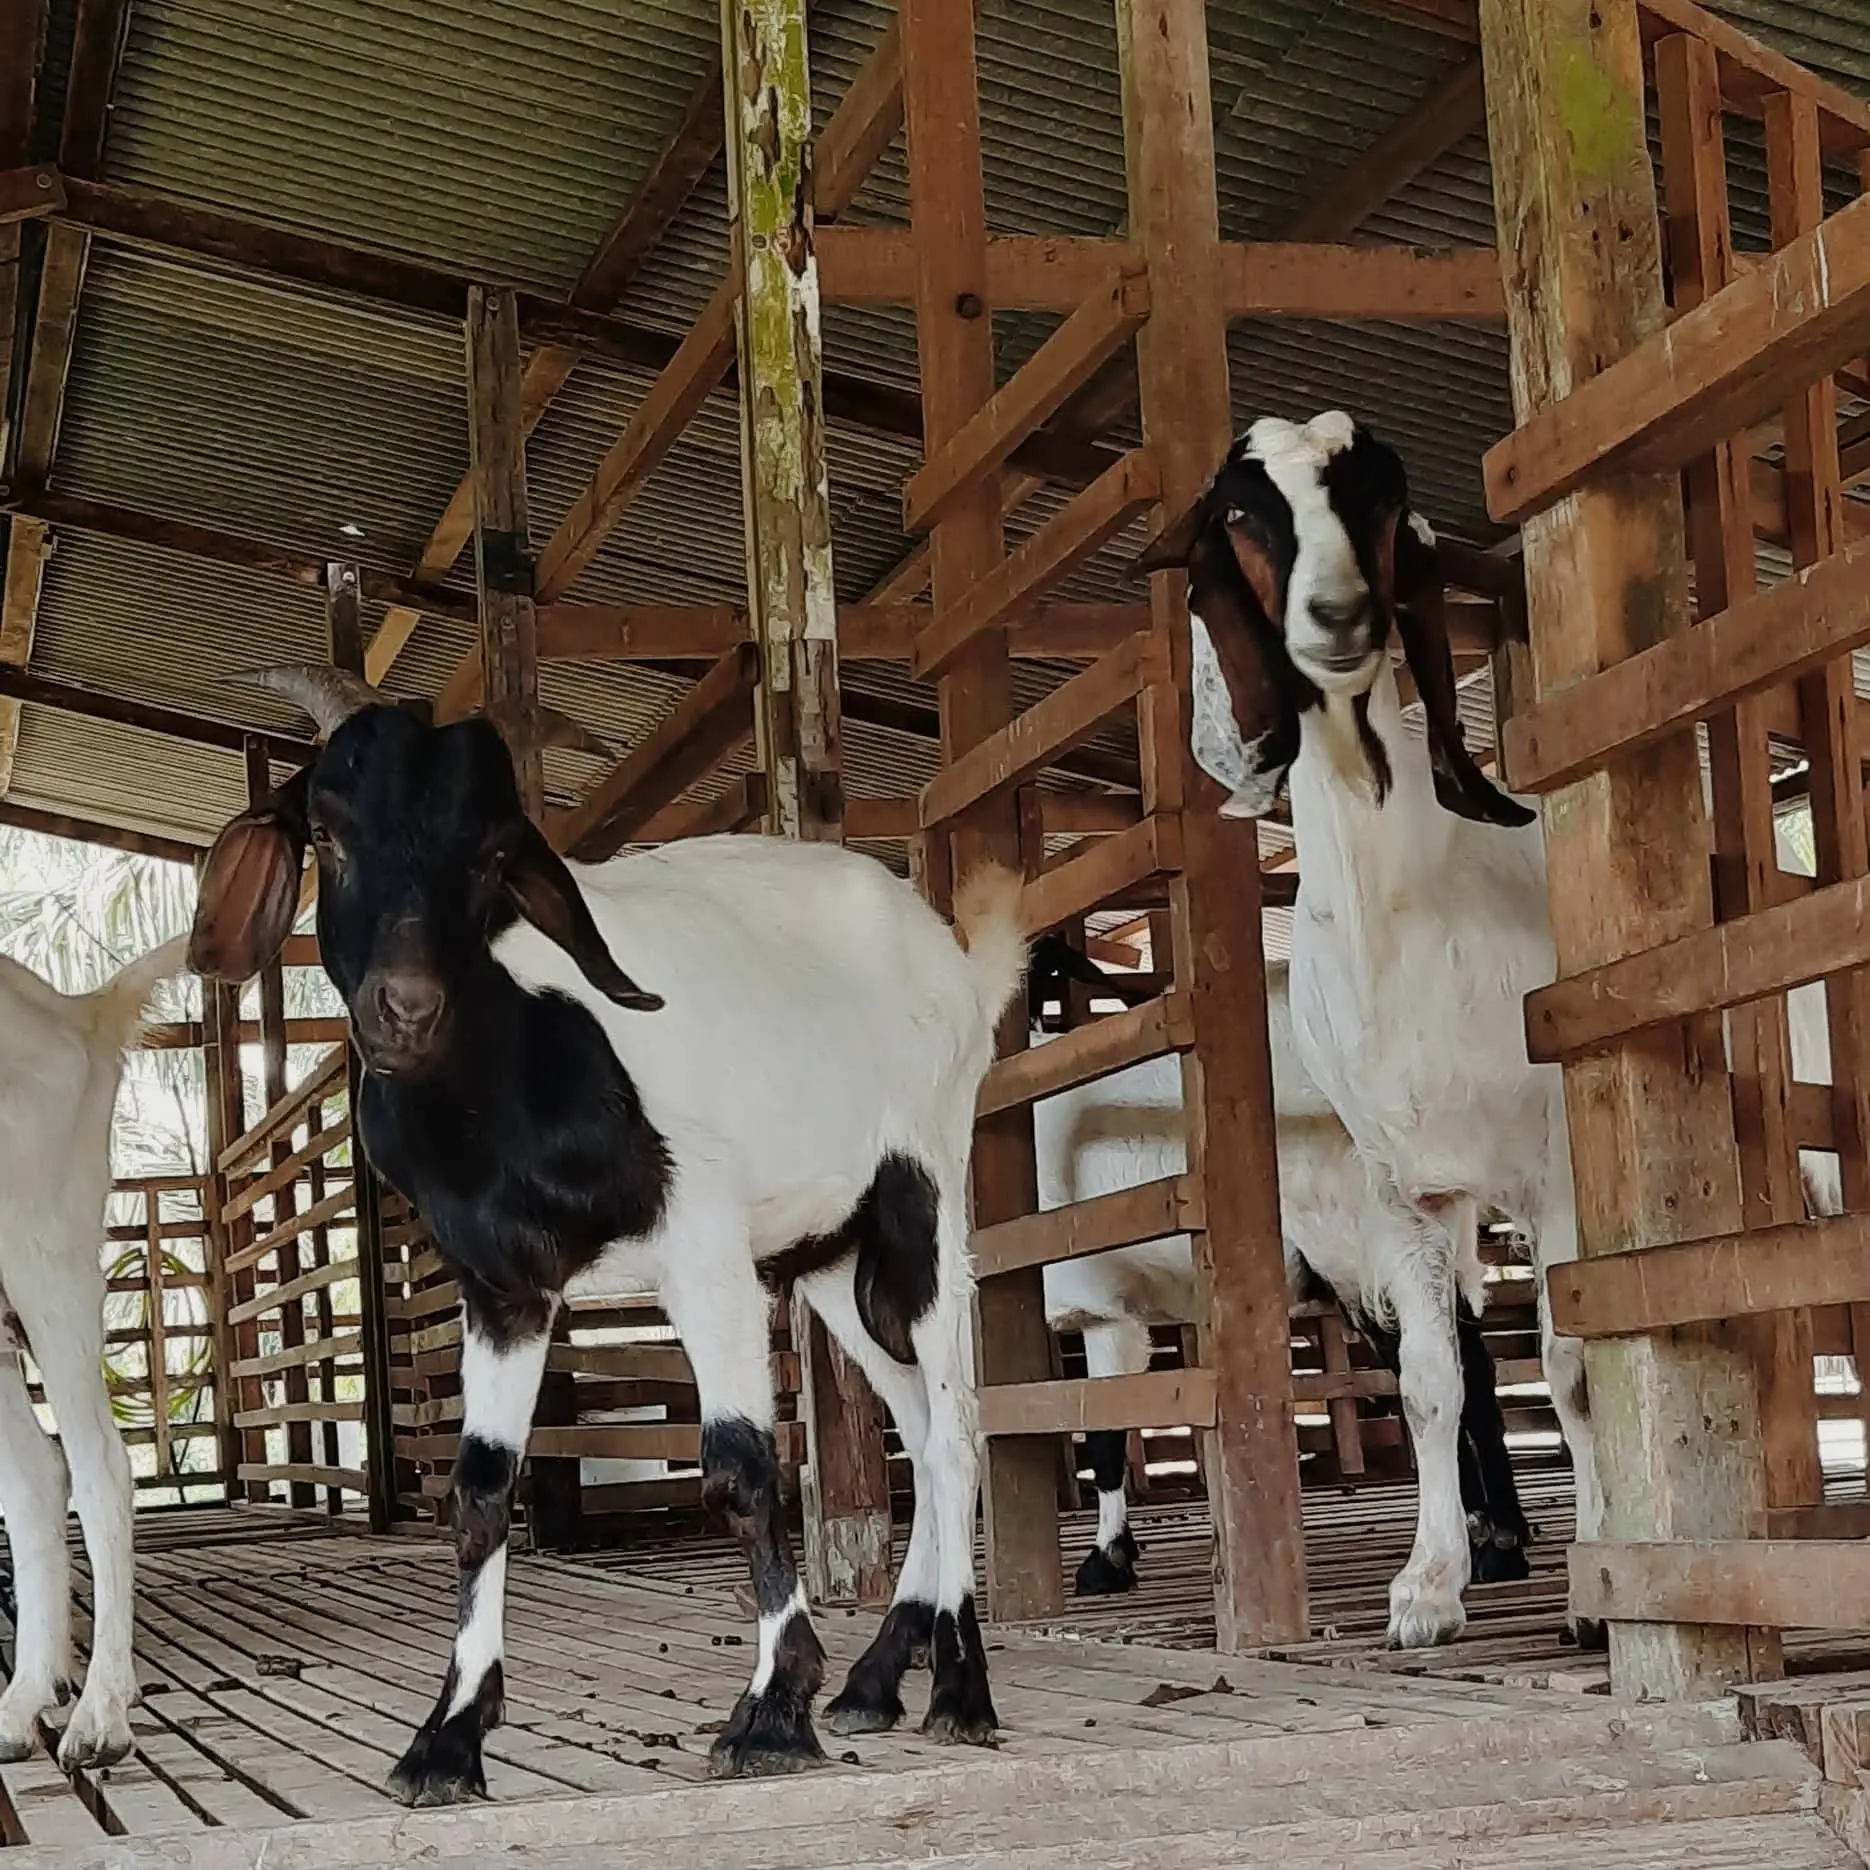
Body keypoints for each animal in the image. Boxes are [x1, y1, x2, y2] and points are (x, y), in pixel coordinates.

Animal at [187, 669, 1025, 1805]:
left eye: (494, 851)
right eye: (325, 827)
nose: (404, 1008)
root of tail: (954, 963)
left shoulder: (701, 1241)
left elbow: (741, 1466)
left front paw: (772, 1711)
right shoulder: (504, 1283)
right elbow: (480, 1491)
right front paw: (449, 1735)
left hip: (922, 1191)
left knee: (952, 1427)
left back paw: (959, 1688)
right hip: (830, 1255)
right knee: (914, 1416)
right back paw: (879, 1676)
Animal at [1028, 937, 1531, 1644]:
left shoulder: (1102, 1303)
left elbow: (1099, 1436)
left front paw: (1106, 1561)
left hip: (1372, 1231)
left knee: (1447, 1372)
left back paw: (1481, 1550)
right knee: (1474, 1370)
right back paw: (1498, 1539)